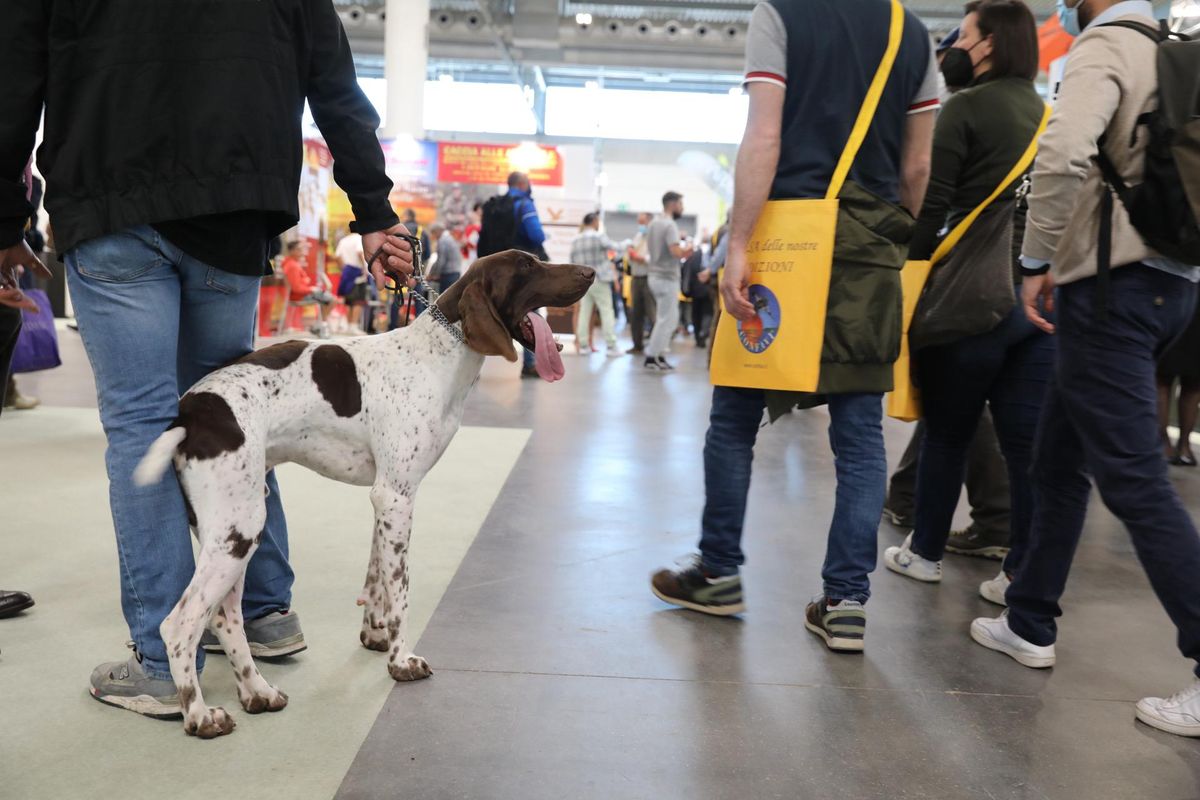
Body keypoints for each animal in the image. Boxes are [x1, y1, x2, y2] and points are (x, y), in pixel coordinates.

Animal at [133, 248, 592, 738]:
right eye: (527, 267)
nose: (590, 271)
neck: (439, 354)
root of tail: (190, 410)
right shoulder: (397, 496)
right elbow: (402, 591)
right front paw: (401, 660)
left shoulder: (385, 499)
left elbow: (377, 578)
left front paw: (375, 633)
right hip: (239, 528)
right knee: (179, 624)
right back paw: (199, 716)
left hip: (233, 526)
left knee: (224, 616)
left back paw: (256, 691)